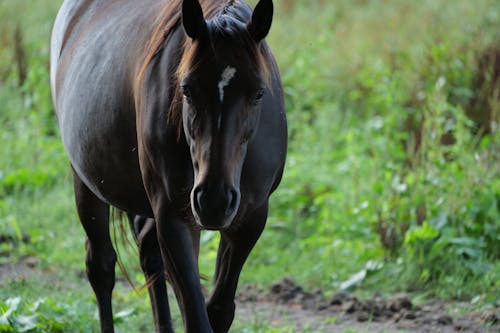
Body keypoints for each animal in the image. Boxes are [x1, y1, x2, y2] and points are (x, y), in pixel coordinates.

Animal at [49, 0, 290, 330]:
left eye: (258, 93)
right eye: (186, 89)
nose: (214, 200)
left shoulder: (251, 219)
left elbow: (219, 310)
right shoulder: (175, 217)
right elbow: (197, 316)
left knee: (149, 254)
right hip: (86, 183)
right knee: (100, 266)